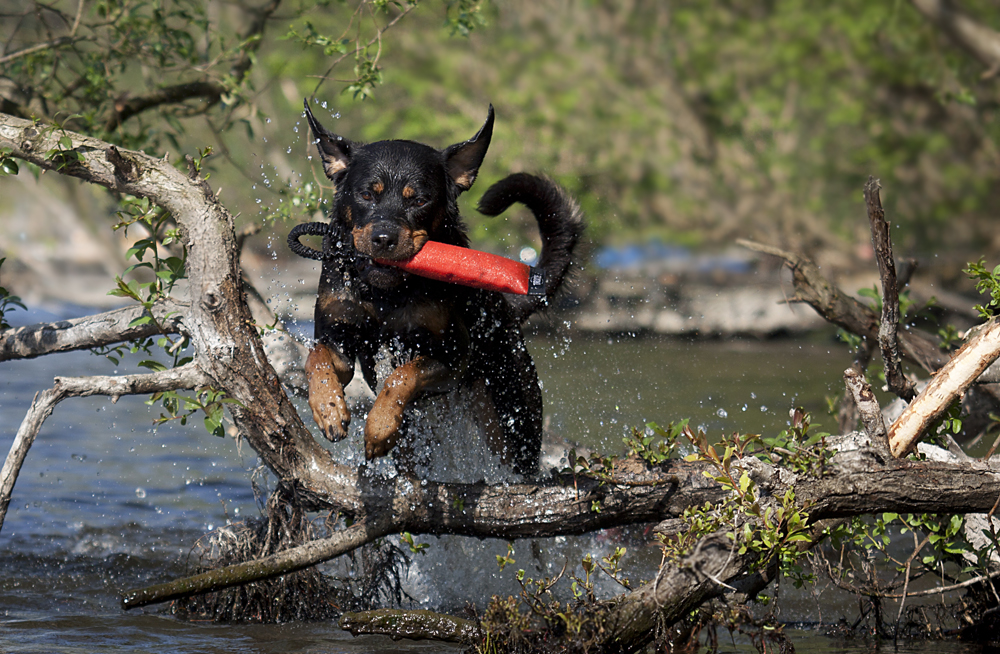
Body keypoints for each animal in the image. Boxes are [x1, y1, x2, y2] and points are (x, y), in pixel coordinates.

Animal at [292, 102, 584, 480]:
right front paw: (328, 409)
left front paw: (379, 426)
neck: (386, 295)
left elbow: (402, 374)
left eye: (419, 200)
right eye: (367, 194)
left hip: (512, 420)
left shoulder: (454, 355)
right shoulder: (339, 338)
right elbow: (316, 359)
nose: (383, 238)